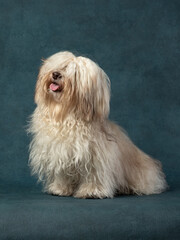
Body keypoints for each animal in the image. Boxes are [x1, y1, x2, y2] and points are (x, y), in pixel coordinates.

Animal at [28, 51, 167, 199]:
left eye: (75, 73)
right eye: (60, 66)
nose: (55, 74)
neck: (66, 116)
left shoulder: (96, 157)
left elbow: (94, 175)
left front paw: (92, 191)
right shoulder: (60, 153)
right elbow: (63, 174)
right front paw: (60, 189)